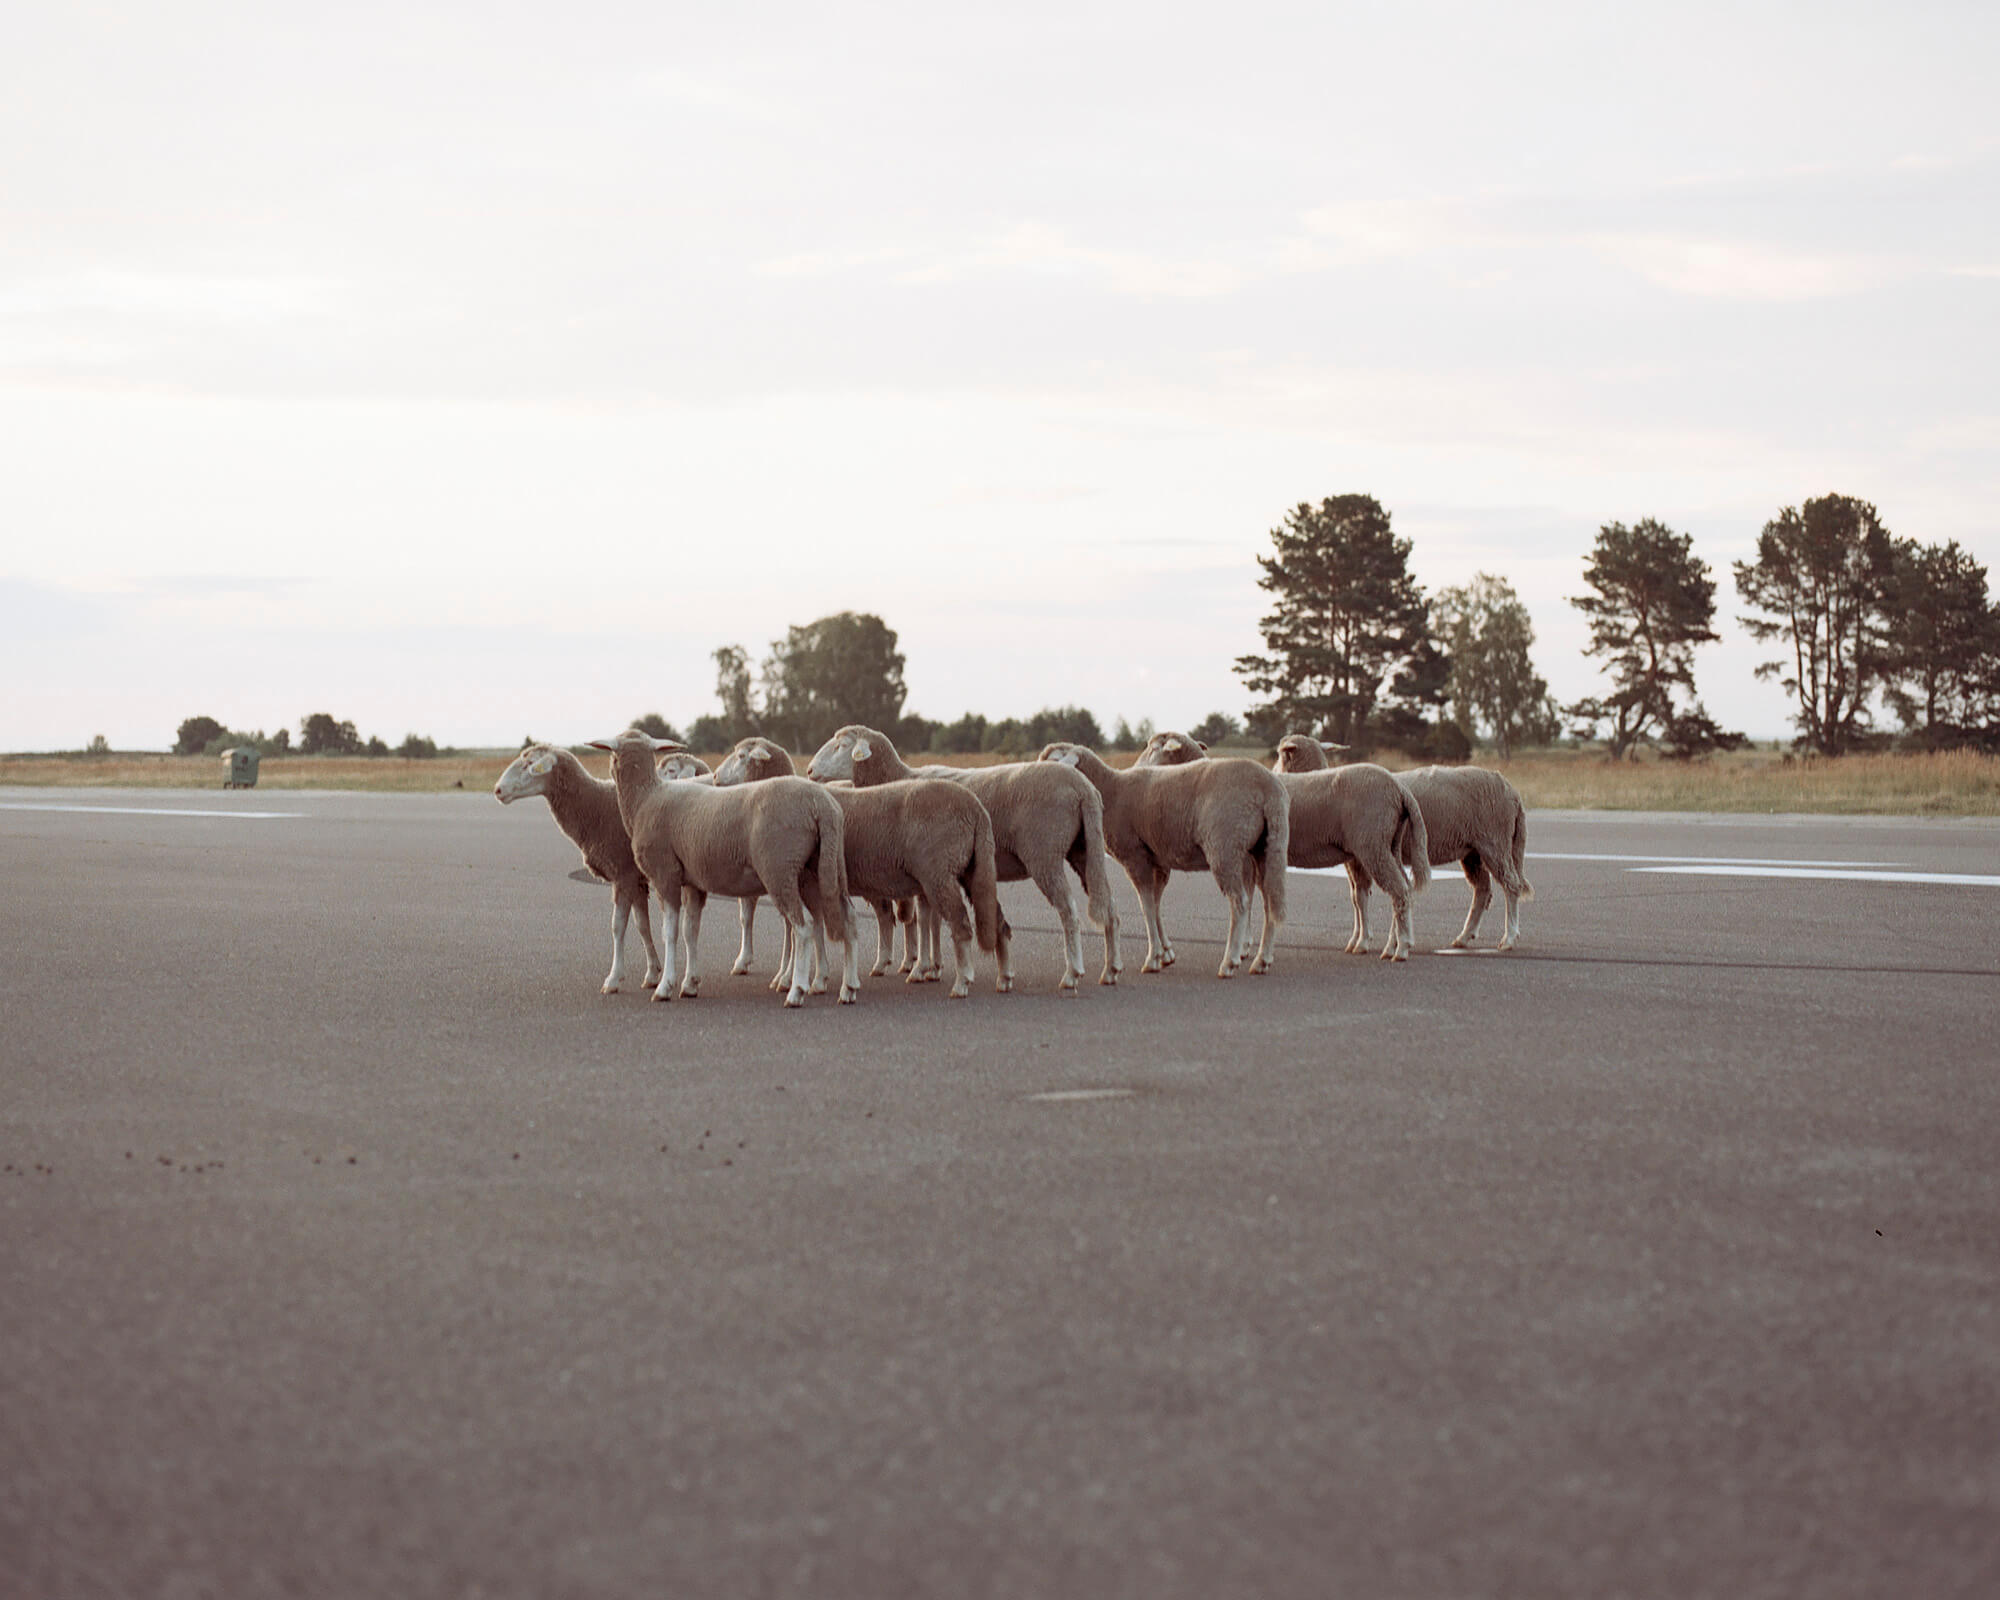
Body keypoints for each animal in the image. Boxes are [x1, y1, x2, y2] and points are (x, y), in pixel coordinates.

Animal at [584, 732, 852, 1008]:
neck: (645, 798)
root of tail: (821, 804)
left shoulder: (664, 875)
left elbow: (669, 932)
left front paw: (664, 986)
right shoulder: (693, 882)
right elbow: (690, 930)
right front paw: (690, 983)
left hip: (780, 870)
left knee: (804, 926)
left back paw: (796, 990)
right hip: (823, 868)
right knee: (845, 919)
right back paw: (846, 988)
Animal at [808, 728, 1128, 1000]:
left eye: (841, 745)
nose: (809, 771)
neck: (897, 777)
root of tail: (1083, 788)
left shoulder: (929, 869)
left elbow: (925, 919)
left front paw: (922, 968)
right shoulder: (926, 873)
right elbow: (931, 918)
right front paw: (933, 967)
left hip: (1044, 853)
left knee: (1068, 911)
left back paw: (1072, 974)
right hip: (1083, 850)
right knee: (1109, 906)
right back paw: (1111, 969)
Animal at [1040, 736, 1288, 976]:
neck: (1111, 789)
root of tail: (1269, 788)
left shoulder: (1134, 856)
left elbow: (1147, 905)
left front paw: (1153, 958)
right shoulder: (1157, 860)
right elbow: (1156, 903)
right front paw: (1165, 953)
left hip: (1225, 847)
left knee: (1240, 902)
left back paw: (1230, 962)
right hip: (1267, 846)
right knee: (1271, 901)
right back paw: (1262, 960)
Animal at [1136, 732, 1432, 956]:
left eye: (1152, 747)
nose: (1136, 770)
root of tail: (1399, 788)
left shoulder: (1244, 856)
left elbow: (1246, 898)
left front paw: (1244, 946)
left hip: (1372, 845)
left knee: (1398, 890)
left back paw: (1401, 948)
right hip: (1388, 844)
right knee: (1403, 887)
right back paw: (1394, 943)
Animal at [1272, 736, 1536, 952]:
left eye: (1280, 755)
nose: (1272, 774)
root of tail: (1512, 792)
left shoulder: (1359, 856)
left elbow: (1363, 896)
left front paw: (1366, 940)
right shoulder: (1353, 857)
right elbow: (1358, 896)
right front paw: (1362, 938)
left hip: (1495, 842)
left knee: (1511, 886)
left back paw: (1509, 938)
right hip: (1473, 850)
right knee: (1482, 890)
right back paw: (1464, 937)